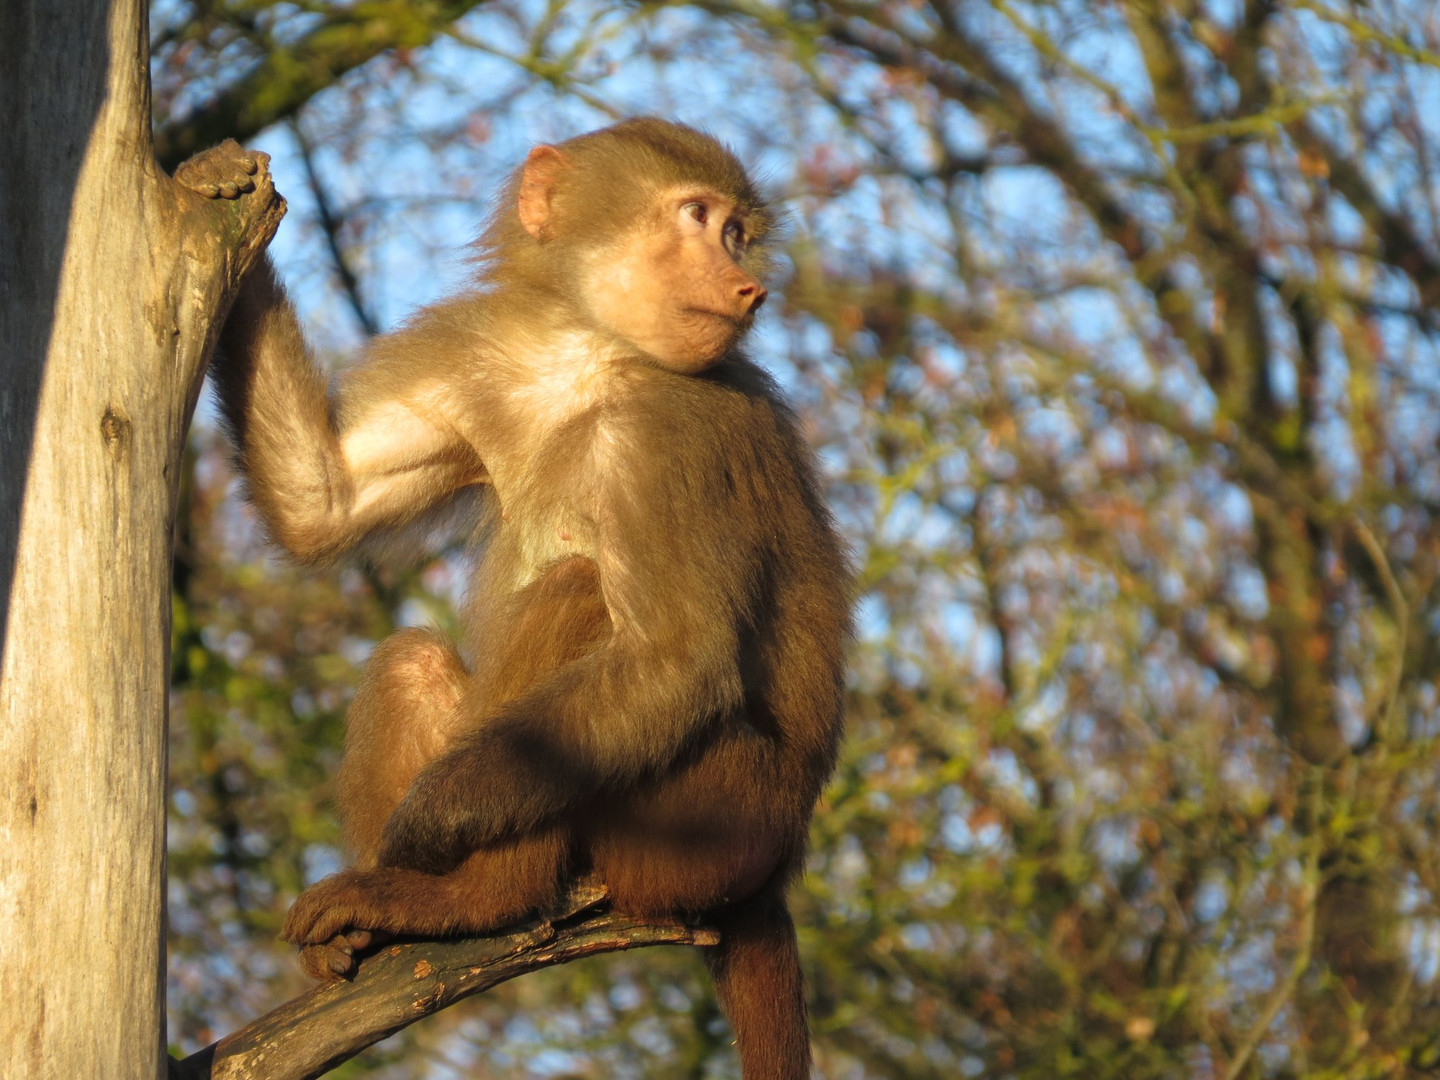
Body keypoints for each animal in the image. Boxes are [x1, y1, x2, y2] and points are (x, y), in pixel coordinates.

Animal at [182, 118, 852, 1080]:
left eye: (733, 232)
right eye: (700, 219)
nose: (747, 283)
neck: (588, 352)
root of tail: (778, 864)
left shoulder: (672, 427)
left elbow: (677, 661)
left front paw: (423, 826)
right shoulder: (479, 359)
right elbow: (323, 506)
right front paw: (226, 198)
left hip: (708, 824)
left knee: (582, 595)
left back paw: (476, 895)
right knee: (417, 659)